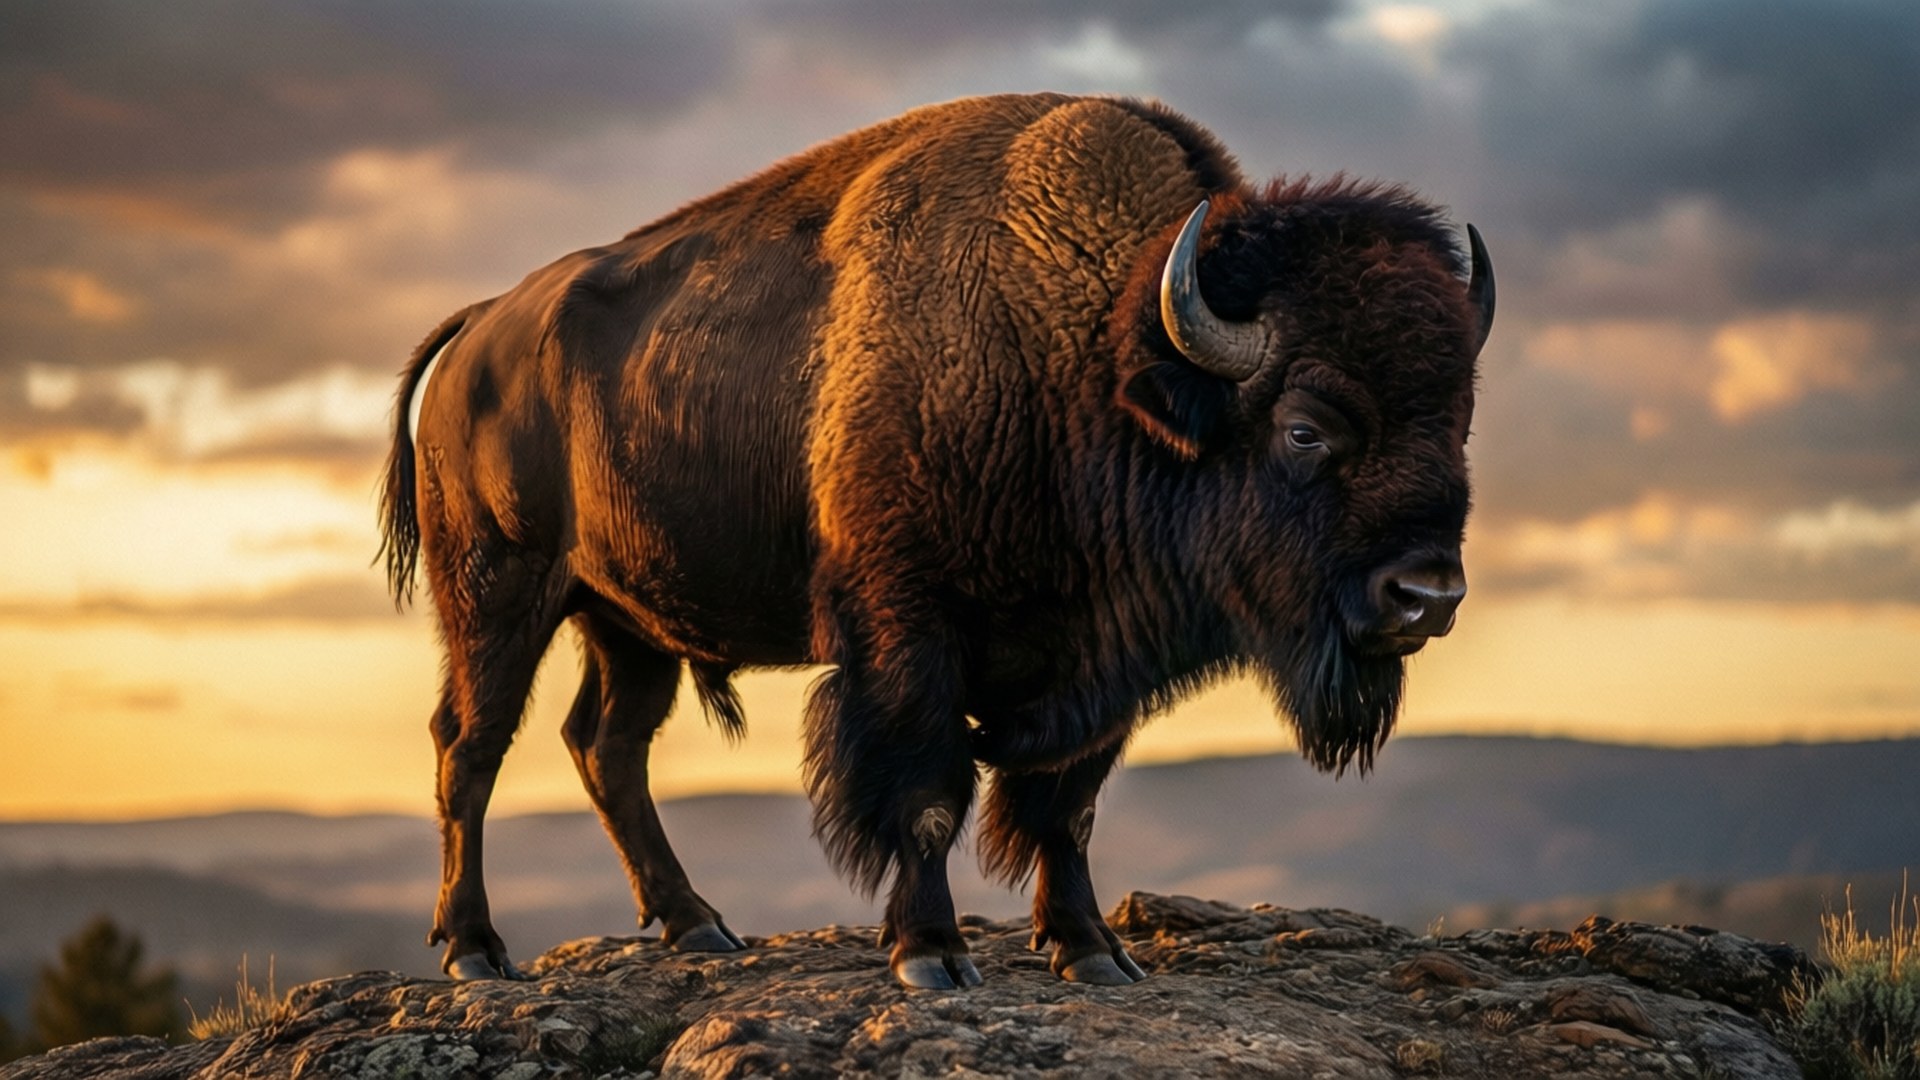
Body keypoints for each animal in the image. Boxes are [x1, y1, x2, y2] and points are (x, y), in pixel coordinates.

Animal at [379, 93, 1494, 990]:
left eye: (1459, 422)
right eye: (1304, 428)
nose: (1428, 597)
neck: (1096, 362)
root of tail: (482, 327)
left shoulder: (1096, 669)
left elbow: (1064, 807)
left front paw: (1093, 953)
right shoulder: (909, 636)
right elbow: (927, 796)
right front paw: (933, 956)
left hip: (630, 619)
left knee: (607, 745)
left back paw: (698, 928)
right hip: (499, 593)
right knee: (470, 745)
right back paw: (477, 950)